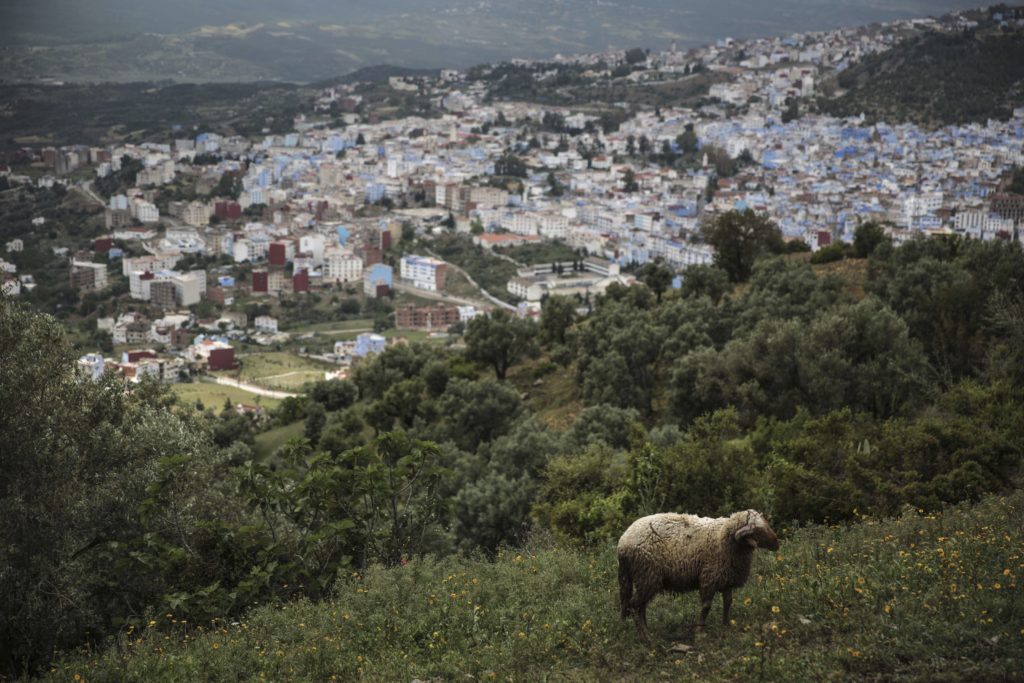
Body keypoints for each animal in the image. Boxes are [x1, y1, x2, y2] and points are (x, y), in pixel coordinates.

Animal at [618, 507, 778, 643]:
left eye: (766, 524)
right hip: (647, 576)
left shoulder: (726, 580)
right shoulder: (709, 578)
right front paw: (700, 631)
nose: (777, 544)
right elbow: (706, 606)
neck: (723, 536)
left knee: (641, 607)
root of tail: (622, 543)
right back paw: (645, 638)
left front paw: (726, 626)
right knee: (634, 606)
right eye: (757, 531)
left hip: (645, 580)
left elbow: (728, 603)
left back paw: (648, 633)